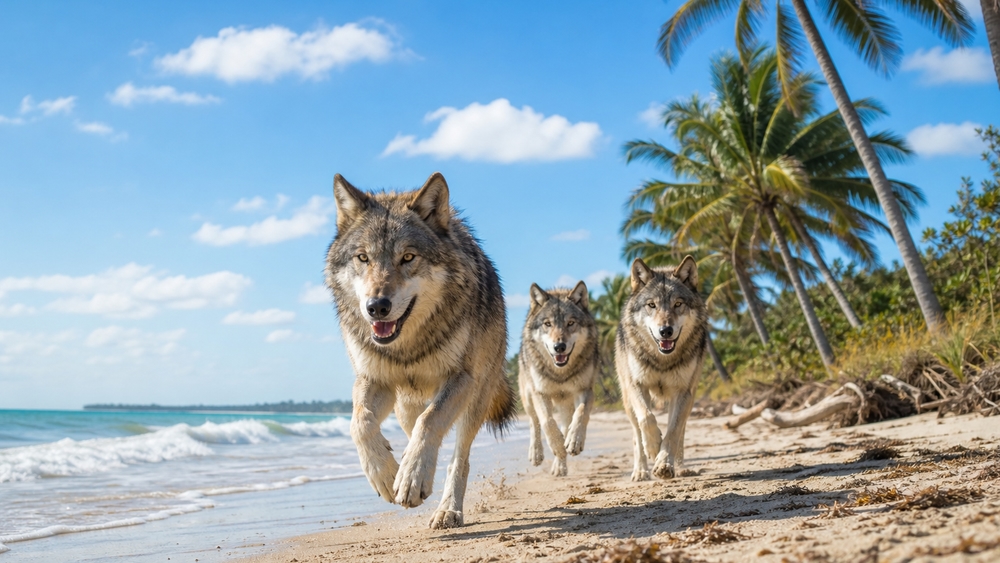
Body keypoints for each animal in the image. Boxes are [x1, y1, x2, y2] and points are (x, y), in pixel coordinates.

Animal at [325, 172, 516, 529]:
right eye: (363, 258)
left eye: (408, 257)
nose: (377, 307)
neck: (408, 347)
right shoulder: (375, 379)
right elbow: (360, 423)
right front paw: (387, 475)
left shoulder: (461, 378)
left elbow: (431, 423)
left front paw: (412, 478)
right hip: (404, 406)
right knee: (414, 426)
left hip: (477, 397)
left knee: (458, 455)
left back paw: (447, 509)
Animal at [518, 281, 598, 476]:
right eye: (548, 324)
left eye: (571, 323)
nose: (559, 346)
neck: (560, 373)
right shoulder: (540, 393)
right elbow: (546, 421)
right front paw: (557, 446)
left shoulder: (585, 390)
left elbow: (581, 413)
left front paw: (574, 441)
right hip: (527, 396)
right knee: (534, 422)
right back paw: (537, 453)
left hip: (565, 405)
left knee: (566, 424)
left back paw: (560, 465)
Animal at [615, 256, 708, 482]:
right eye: (652, 305)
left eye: (678, 304)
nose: (666, 331)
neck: (662, 359)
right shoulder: (637, 385)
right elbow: (647, 419)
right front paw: (654, 447)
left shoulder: (683, 392)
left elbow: (673, 431)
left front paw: (664, 463)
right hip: (627, 400)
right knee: (636, 433)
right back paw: (640, 471)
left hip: (689, 399)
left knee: (680, 432)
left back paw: (680, 467)